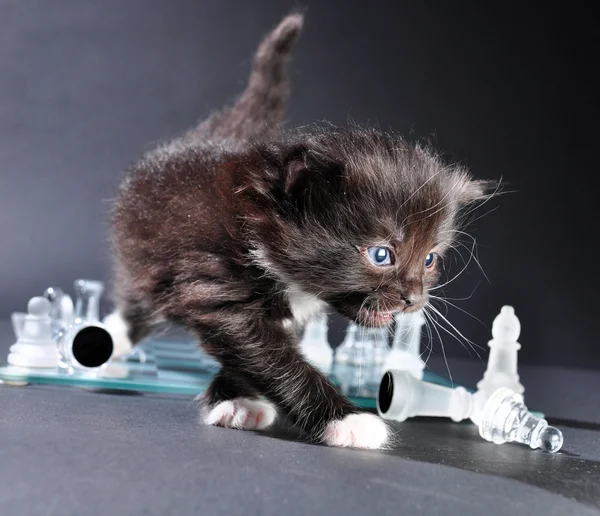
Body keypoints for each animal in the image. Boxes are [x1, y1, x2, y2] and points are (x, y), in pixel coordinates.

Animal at [106, 12, 492, 448]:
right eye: (381, 254)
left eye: (429, 259)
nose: (413, 299)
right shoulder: (213, 285)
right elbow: (273, 357)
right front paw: (347, 419)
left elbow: (258, 354)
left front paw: (234, 397)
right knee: (136, 302)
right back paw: (110, 337)